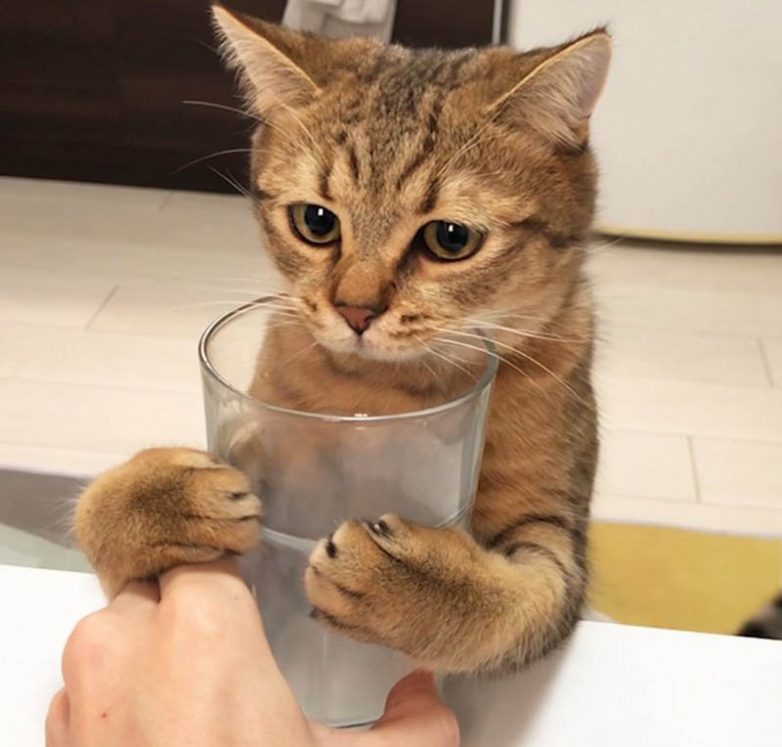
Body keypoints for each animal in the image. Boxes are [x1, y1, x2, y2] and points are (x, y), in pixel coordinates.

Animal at [74, 4, 611, 675]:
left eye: (451, 239)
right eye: (316, 222)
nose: (355, 309)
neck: (384, 397)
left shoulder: (553, 533)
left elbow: (514, 605)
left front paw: (414, 587)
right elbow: (100, 524)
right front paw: (152, 497)